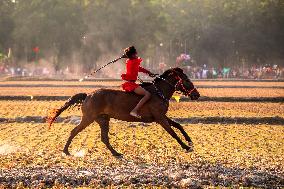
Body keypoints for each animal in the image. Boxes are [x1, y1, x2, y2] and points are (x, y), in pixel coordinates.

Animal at [46, 67, 200, 156]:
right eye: (187, 80)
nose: (197, 95)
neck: (159, 92)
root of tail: (88, 95)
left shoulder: (161, 116)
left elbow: (178, 125)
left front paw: (189, 140)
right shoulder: (160, 118)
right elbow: (173, 132)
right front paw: (185, 146)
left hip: (103, 119)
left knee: (104, 138)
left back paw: (116, 153)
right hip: (88, 118)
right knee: (74, 131)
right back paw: (66, 151)